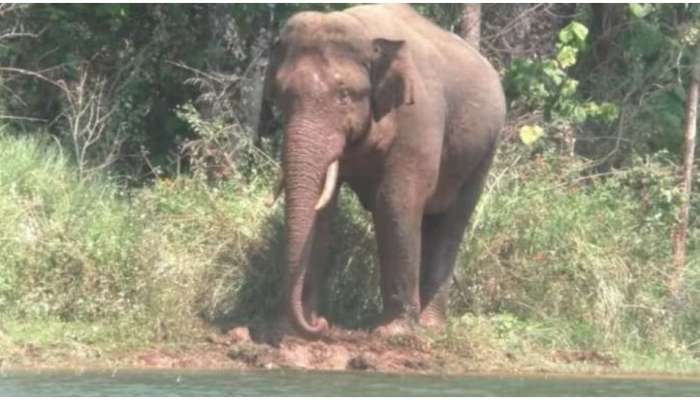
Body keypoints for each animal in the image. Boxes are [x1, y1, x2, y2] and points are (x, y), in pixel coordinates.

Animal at [258, 4, 504, 340]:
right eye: (280, 96)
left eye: (344, 95)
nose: (321, 325)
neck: (363, 31)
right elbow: (323, 210)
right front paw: (290, 329)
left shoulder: (418, 121)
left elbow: (395, 201)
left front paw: (393, 332)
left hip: (484, 151)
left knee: (453, 220)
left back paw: (429, 326)